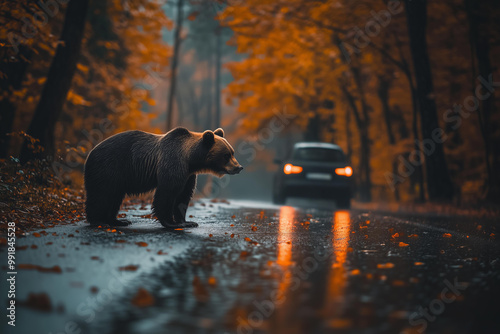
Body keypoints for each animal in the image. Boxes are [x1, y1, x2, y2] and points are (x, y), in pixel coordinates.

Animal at [83, 126, 242, 228]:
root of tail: (90, 152)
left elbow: (183, 196)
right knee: (101, 195)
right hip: (108, 168)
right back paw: (99, 222)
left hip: (116, 178)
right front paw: (170, 222)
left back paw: (118, 221)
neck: (190, 160)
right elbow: (167, 193)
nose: (238, 167)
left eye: (232, 152)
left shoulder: (188, 175)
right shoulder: (172, 162)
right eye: (226, 155)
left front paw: (188, 222)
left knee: (114, 197)